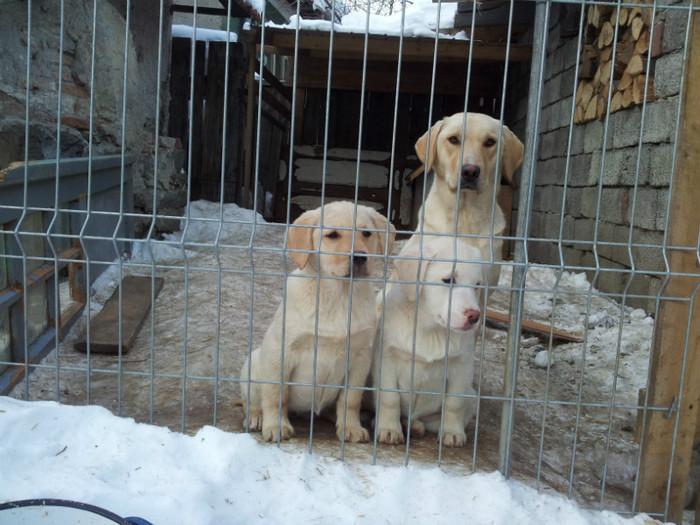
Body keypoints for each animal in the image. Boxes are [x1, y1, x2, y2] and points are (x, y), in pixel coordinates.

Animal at [239, 201, 394, 442]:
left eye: (367, 233)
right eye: (332, 235)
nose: (359, 257)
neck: (339, 296)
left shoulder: (360, 357)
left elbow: (351, 399)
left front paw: (351, 427)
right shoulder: (280, 351)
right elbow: (276, 395)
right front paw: (276, 426)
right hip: (253, 363)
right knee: (252, 401)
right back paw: (256, 417)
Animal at [374, 237, 484, 446]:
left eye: (477, 285)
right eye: (448, 280)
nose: (474, 316)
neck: (431, 329)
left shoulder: (462, 366)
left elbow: (454, 403)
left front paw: (453, 432)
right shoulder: (387, 359)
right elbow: (389, 398)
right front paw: (389, 429)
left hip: (471, 397)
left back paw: (414, 425)